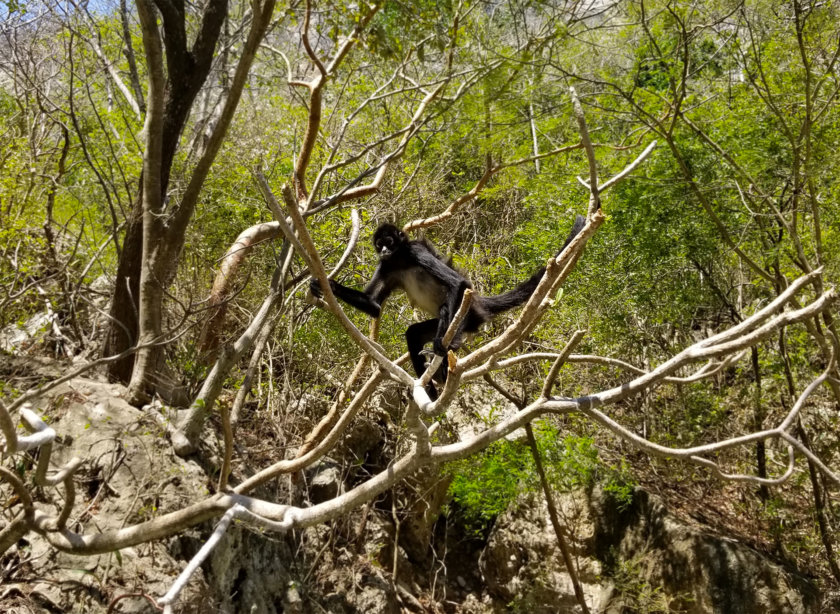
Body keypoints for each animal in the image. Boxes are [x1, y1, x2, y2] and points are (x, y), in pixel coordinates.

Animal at [312, 217, 588, 400]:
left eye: (389, 241)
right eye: (379, 244)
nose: (384, 249)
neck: (400, 259)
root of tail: (477, 304)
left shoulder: (415, 251)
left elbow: (457, 283)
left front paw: (438, 347)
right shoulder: (387, 266)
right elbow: (374, 307)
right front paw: (324, 285)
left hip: (464, 316)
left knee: (448, 310)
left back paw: (445, 352)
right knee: (413, 333)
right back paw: (432, 389)